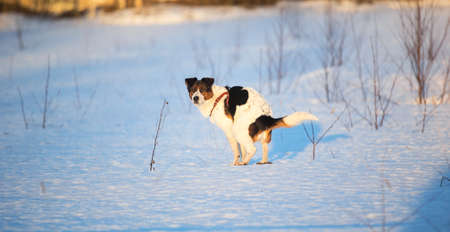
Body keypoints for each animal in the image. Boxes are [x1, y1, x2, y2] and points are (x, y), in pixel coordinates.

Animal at [185, 77, 318, 165]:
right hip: (262, 136)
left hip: (238, 130)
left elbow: (236, 151)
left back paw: (243, 163)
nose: (195, 98)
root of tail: (265, 116)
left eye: (202, 90)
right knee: (263, 150)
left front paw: (235, 164)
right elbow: (243, 150)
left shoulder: (229, 131)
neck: (215, 99)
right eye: (193, 90)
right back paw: (260, 162)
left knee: (253, 149)